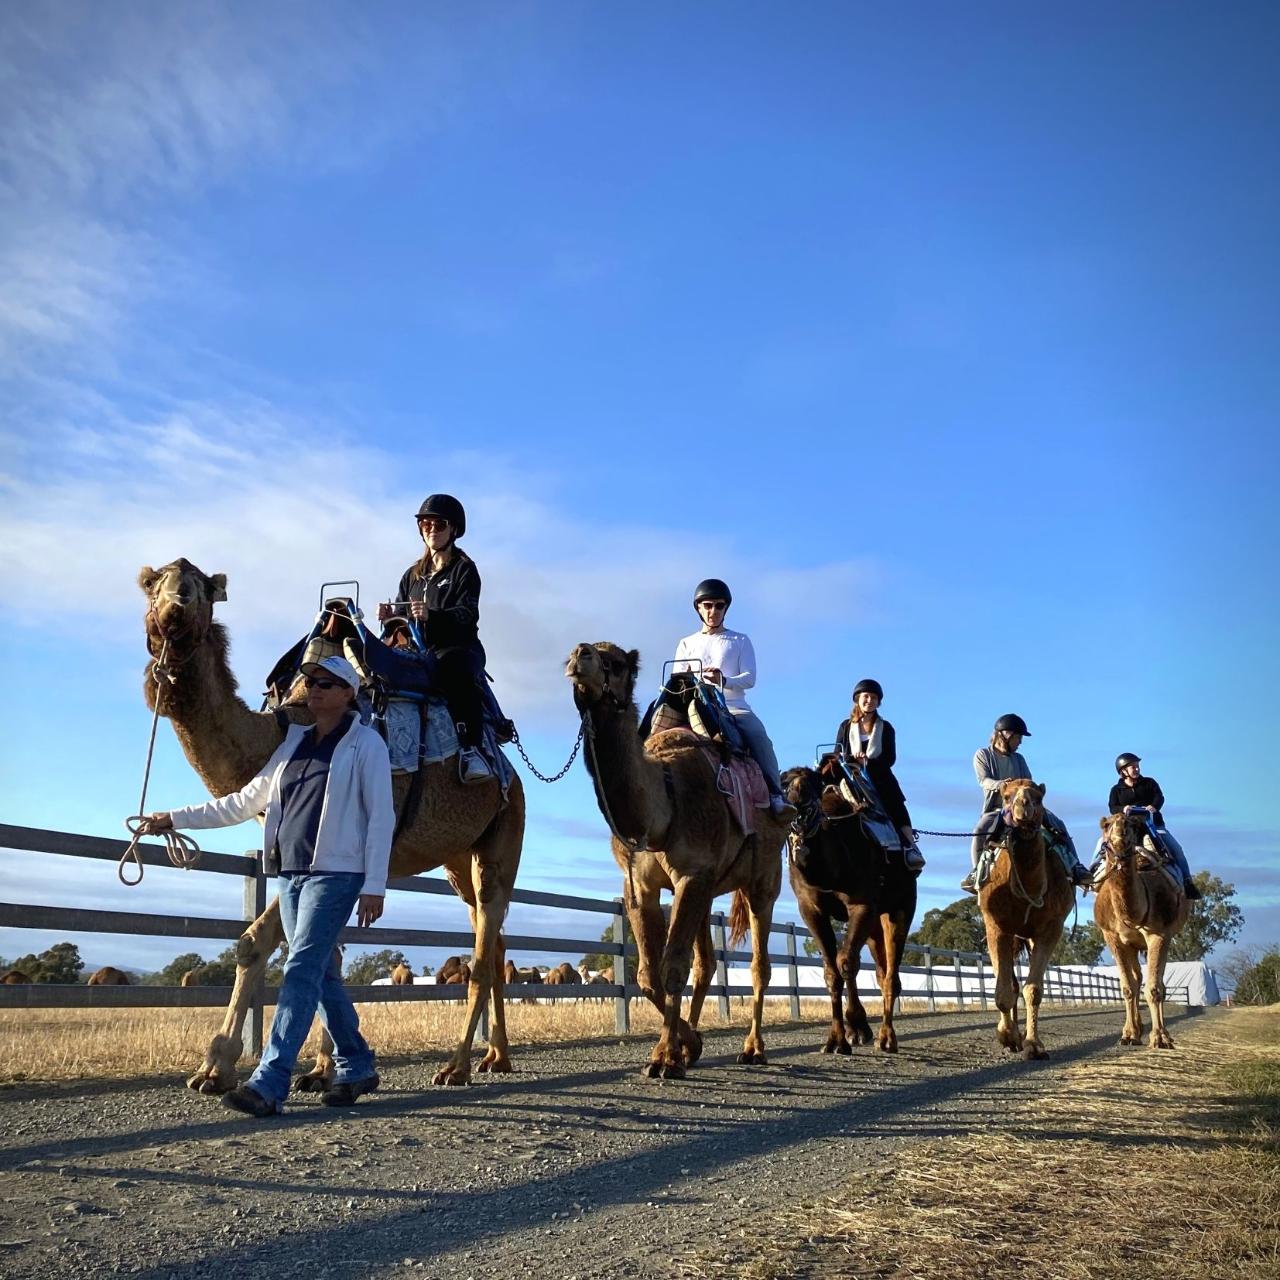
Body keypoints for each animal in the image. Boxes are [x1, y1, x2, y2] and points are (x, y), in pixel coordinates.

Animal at [137, 558, 522, 1090]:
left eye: (198, 589)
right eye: (153, 585)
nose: (174, 605)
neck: (288, 728)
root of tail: (511, 771)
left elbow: (298, 945)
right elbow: (274, 945)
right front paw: (285, 1069)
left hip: (504, 831)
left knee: (483, 955)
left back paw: (457, 1066)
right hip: (459, 858)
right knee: (493, 938)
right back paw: (496, 1057)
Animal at [565, 645, 783, 1075]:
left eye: (616, 663)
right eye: (574, 652)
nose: (580, 655)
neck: (664, 800)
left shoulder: (691, 875)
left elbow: (672, 968)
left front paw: (666, 1056)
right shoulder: (640, 885)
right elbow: (650, 975)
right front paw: (686, 1045)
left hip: (763, 881)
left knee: (758, 966)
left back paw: (753, 1048)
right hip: (711, 889)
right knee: (706, 965)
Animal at [972, 778, 1075, 1059]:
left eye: (1039, 797)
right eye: (1006, 796)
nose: (1024, 805)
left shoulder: (1050, 929)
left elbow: (1034, 990)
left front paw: (1033, 1044)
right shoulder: (997, 926)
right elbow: (1003, 991)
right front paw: (1007, 1036)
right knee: (1009, 983)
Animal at [1090, 808, 1187, 1049]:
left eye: (1132, 824)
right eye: (1106, 825)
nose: (1120, 831)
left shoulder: (1159, 934)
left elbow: (1154, 988)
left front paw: (1161, 1038)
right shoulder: (1112, 937)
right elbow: (1127, 987)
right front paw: (1128, 1035)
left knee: (1155, 982)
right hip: (1132, 944)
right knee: (1136, 978)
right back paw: (1136, 1030)